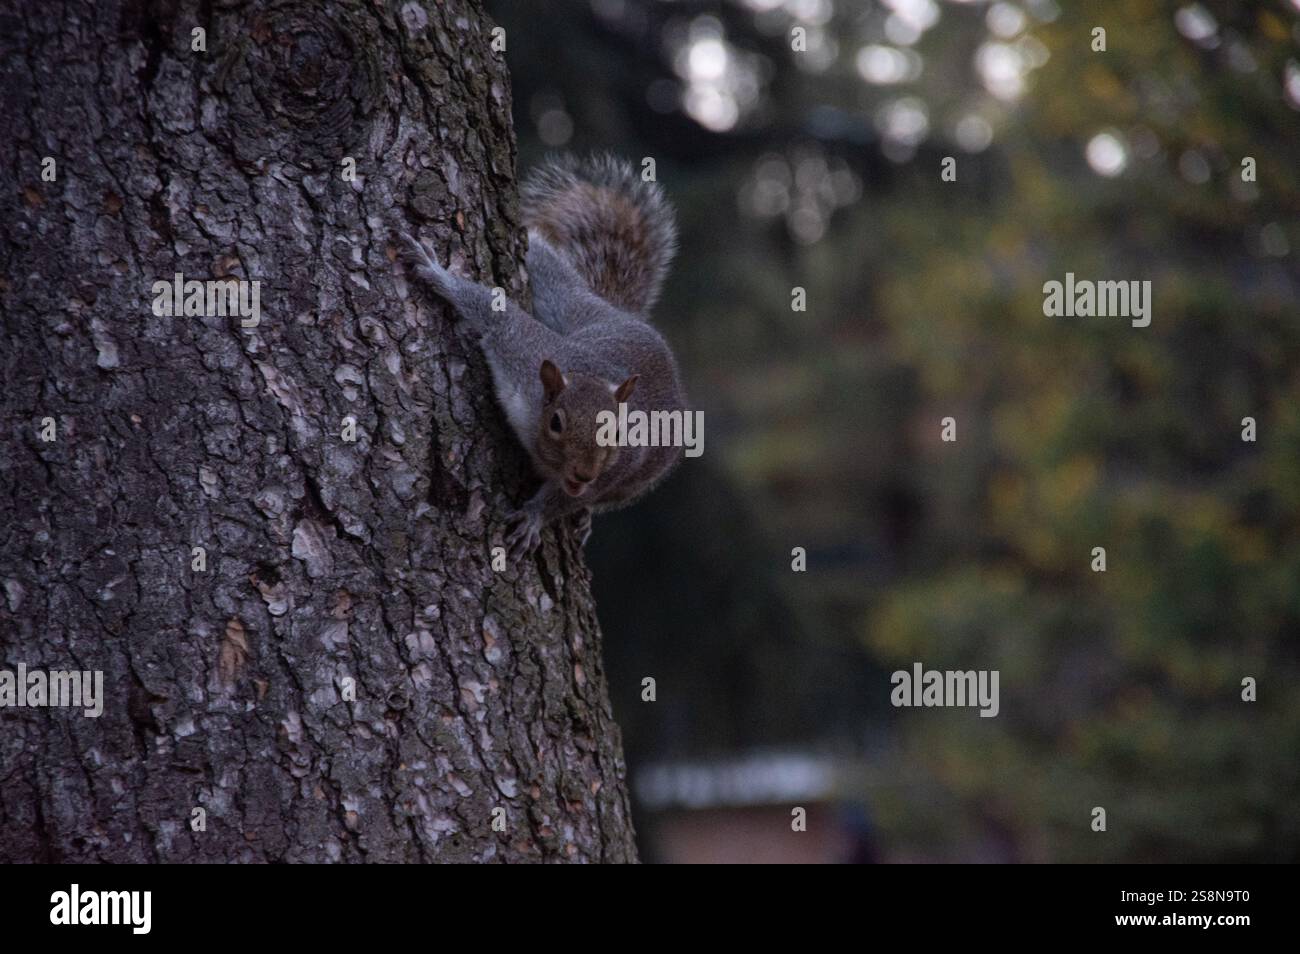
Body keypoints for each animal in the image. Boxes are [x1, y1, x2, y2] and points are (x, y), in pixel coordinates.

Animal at [403, 154, 687, 558]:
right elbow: (497, 314)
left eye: (619, 432)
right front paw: (438, 274)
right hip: (570, 303)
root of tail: (620, 316)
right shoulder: (522, 348)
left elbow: (565, 500)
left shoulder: (619, 467)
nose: (583, 474)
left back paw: (585, 517)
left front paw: (536, 517)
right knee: (550, 270)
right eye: (556, 422)